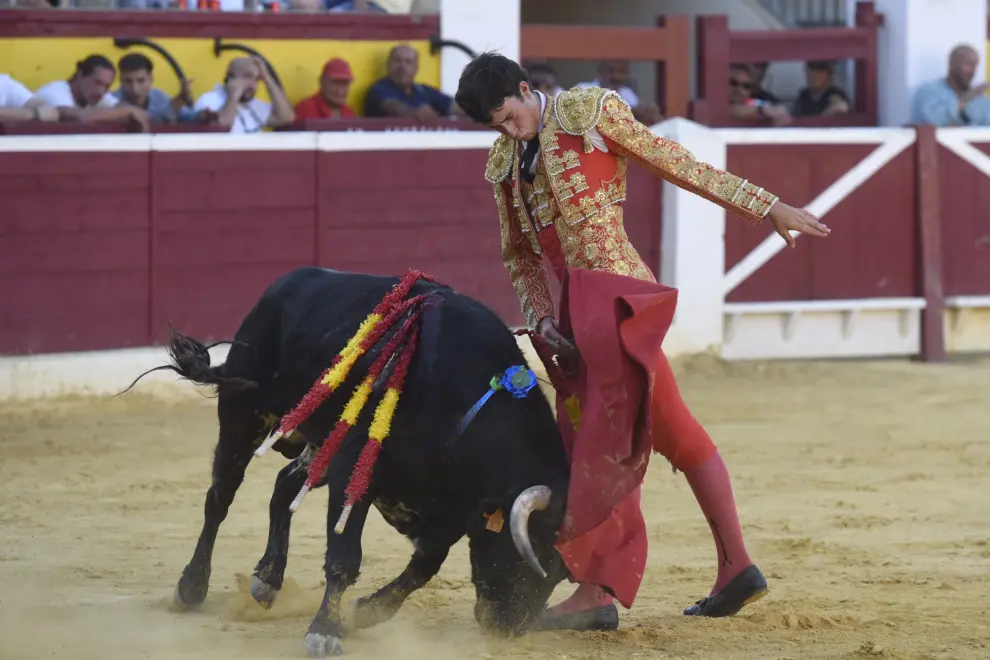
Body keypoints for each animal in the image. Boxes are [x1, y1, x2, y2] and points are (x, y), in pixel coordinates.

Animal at [136, 266, 576, 656]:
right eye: (530, 550)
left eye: (560, 571)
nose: (509, 628)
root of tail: (278, 289)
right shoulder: (355, 469)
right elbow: (345, 556)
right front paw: (325, 632)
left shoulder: (452, 508)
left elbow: (425, 565)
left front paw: (366, 612)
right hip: (243, 413)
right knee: (220, 497)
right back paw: (191, 587)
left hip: (319, 442)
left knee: (283, 487)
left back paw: (267, 580)